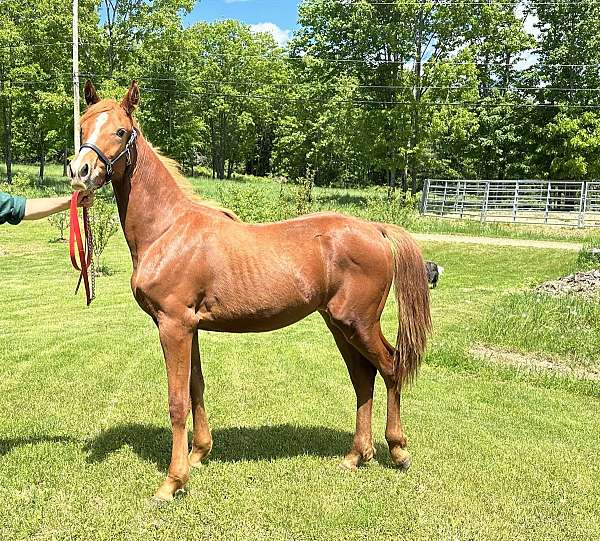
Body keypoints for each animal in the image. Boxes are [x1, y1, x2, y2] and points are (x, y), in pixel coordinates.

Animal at [69, 81, 432, 502]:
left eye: (121, 131)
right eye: (83, 127)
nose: (80, 172)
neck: (168, 230)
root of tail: (374, 229)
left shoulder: (173, 325)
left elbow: (177, 401)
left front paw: (172, 482)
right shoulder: (189, 327)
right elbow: (196, 387)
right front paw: (198, 455)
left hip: (359, 323)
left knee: (390, 367)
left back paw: (398, 450)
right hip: (340, 325)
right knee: (363, 378)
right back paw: (356, 455)